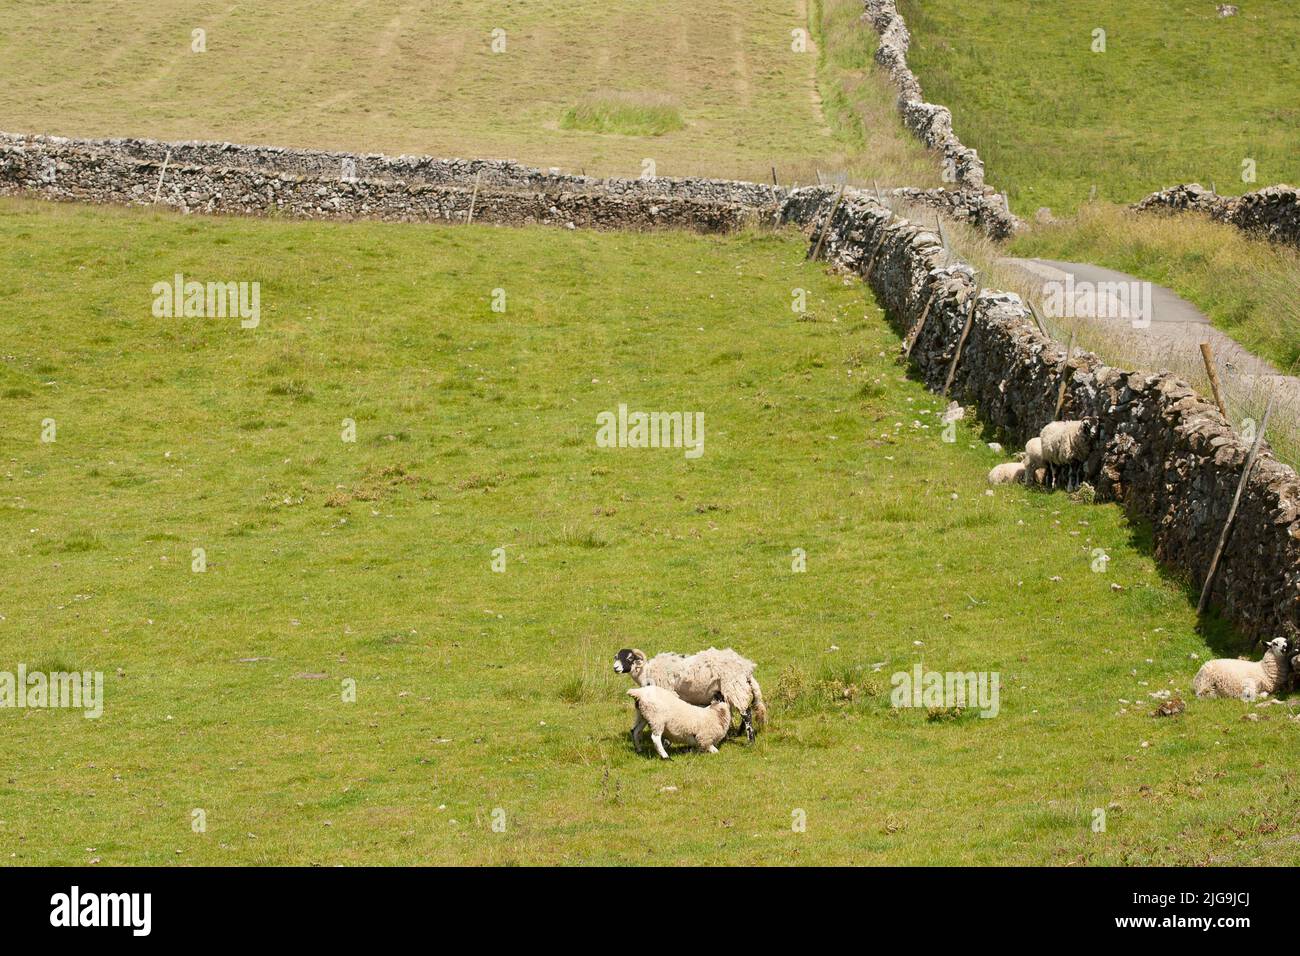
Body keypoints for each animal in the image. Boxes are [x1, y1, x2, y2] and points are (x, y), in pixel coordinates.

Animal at [613, 647, 764, 743]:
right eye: (616, 657)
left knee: (746, 713)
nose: (615, 668)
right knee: (745, 710)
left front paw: (667, 741)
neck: (646, 673)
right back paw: (739, 733)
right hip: (736, 688)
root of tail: (747, 667)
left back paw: (750, 741)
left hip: (734, 686)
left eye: (629, 657)